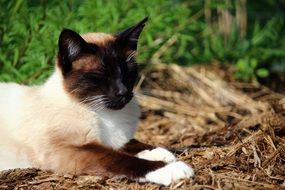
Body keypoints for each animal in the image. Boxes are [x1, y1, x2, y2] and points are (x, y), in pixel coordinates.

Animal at [0, 17, 193, 186]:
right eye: (102, 75)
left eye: (127, 72)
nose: (123, 92)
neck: (103, 114)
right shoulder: (70, 149)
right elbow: (118, 158)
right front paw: (172, 168)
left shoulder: (112, 140)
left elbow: (130, 144)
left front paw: (161, 152)